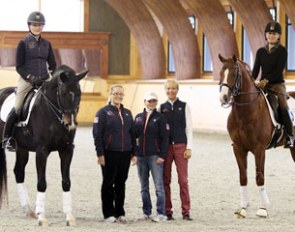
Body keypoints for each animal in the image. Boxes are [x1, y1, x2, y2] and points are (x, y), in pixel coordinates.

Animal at [0, 64, 88, 226]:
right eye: (63, 93)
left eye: (79, 93)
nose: (70, 124)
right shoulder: (42, 151)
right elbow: (41, 183)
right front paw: (41, 216)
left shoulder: (67, 150)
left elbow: (66, 182)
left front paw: (69, 217)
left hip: (22, 149)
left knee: (19, 172)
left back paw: (28, 210)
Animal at [219, 54, 295, 218]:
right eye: (221, 73)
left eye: (234, 74)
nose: (224, 98)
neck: (246, 112)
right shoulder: (238, 148)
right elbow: (243, 176)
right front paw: (242, 207)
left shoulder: (259, 150)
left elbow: (259, 177)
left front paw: (263, 208)